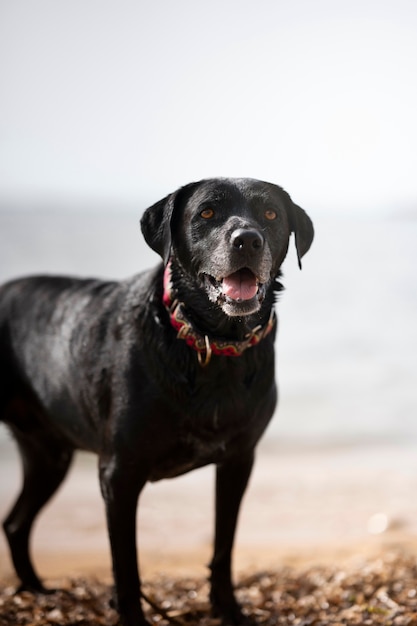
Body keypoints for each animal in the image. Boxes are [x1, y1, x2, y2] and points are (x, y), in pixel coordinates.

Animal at [0, 177, 312, 624]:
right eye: (206, 212)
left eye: (270, 213)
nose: (248, 241)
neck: (210, 344)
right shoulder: (119, 474)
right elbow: (125, 564)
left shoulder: (238, 461)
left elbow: (223, 544)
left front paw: (228, 609)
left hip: (49, 455)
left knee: (15, 523)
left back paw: (38, 591)